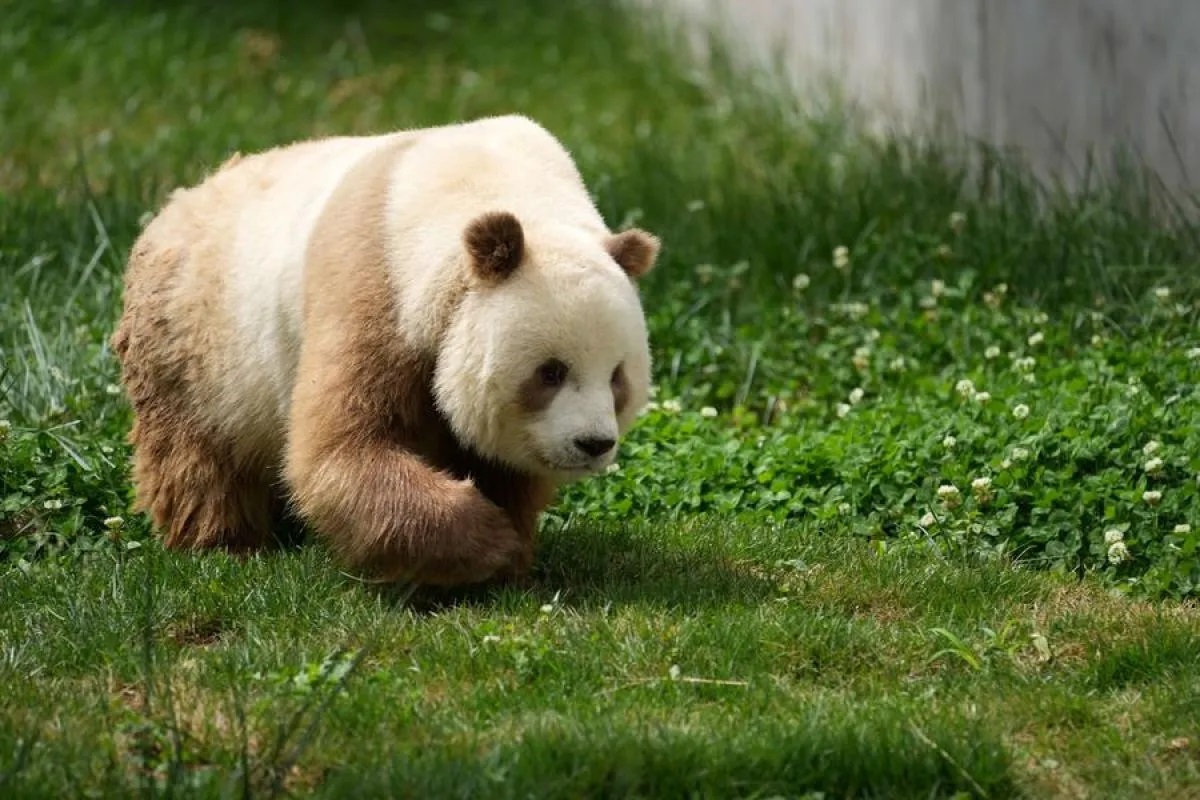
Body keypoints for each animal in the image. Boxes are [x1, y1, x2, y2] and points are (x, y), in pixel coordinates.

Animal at [111, 114, 660, 587]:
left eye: (617, 376)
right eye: (550, 372)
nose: (593, 444)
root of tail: (177, 202)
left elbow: (502, 466)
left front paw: (509, 551)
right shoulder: (375, 279)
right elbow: (341, 448)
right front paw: (486, 543)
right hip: (194, 342)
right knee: (196, 456)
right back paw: (224, 543)